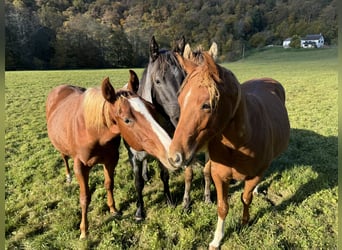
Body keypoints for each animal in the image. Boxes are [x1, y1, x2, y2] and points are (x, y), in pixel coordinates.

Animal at [46, 70, 176, 238]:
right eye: (127, 120)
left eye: (152, 109)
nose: (170, 150)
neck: (92, 131)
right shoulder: (80, 167)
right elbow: (84, 198)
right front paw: (84, 230)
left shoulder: (110, 160)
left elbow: (109, 184)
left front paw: (113, 209)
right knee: (64, 157)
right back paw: (68, 177)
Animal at [168, 52, 288, 248]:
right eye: (180, 100)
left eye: (207, 105)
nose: (174, 157)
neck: (239, 145)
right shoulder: (218, 175)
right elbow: (222, 207)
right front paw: (217, 239)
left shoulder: (254, 175)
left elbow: (246, 198)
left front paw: (245, 221)